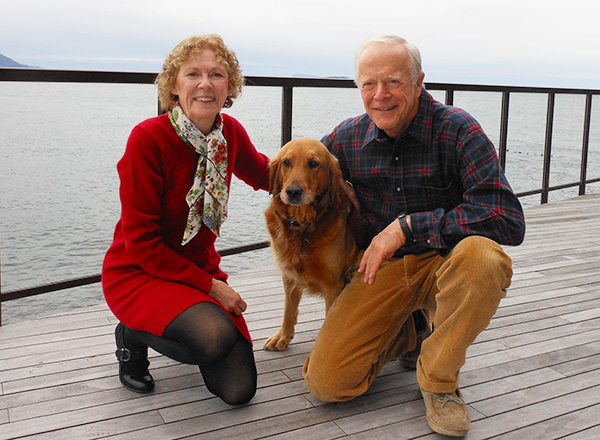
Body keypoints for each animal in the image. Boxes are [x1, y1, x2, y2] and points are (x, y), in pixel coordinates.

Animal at [264, 138, 366, 350]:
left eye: (313, 163)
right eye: (286, 162)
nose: (293, 192)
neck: (302, 226)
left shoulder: (333, 284)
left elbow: (329, 323)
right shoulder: (289, 275)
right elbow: (289, 309)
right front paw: (283, 336)